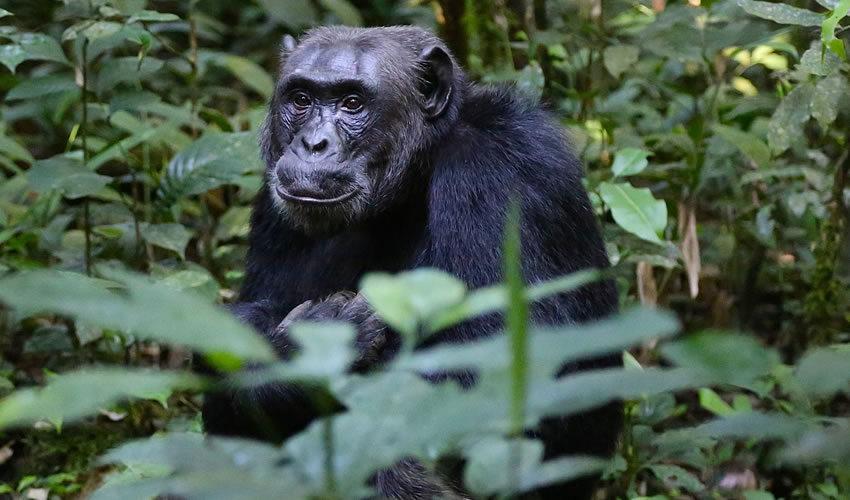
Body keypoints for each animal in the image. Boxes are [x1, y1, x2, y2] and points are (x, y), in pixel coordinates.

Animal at [202, 25, 620, 498]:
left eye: (352, 103)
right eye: (302, 99)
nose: (313, 143)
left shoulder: (502, 172)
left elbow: (509, 373)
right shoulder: (275, 207)